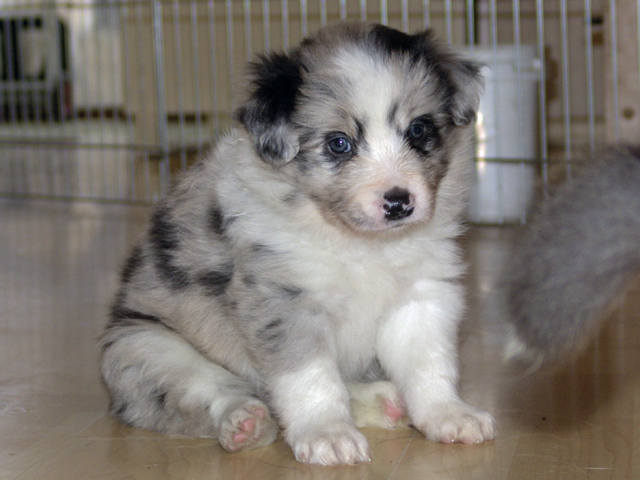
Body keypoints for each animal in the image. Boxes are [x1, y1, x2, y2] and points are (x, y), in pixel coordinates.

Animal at [100, 22, 495, 466]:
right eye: (338, 143)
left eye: (419, 130)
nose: (398, 203)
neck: (359, 243)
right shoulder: (284, 300)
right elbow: (309, 375)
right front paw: (328, 434)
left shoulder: (421, 295)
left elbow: (428, 363)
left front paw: (449, 414)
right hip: (144, 349)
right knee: (207, 393)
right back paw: (244, 422)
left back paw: (385, 402)